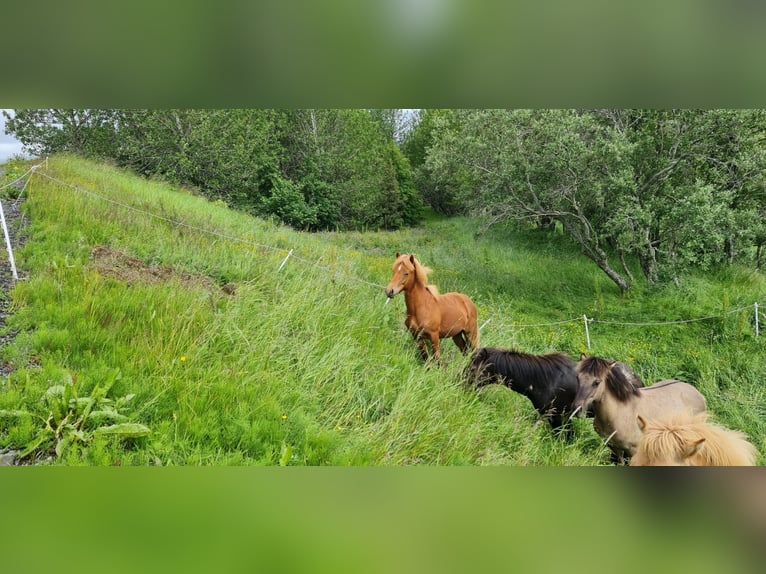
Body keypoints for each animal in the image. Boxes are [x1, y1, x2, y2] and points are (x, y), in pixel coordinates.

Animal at [576, 358, 708, 466]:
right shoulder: (615, 447)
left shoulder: (635, 450)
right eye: (577, 378)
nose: (577, 409)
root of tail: (698, 394)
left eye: (596, 382)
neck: (619, 412)